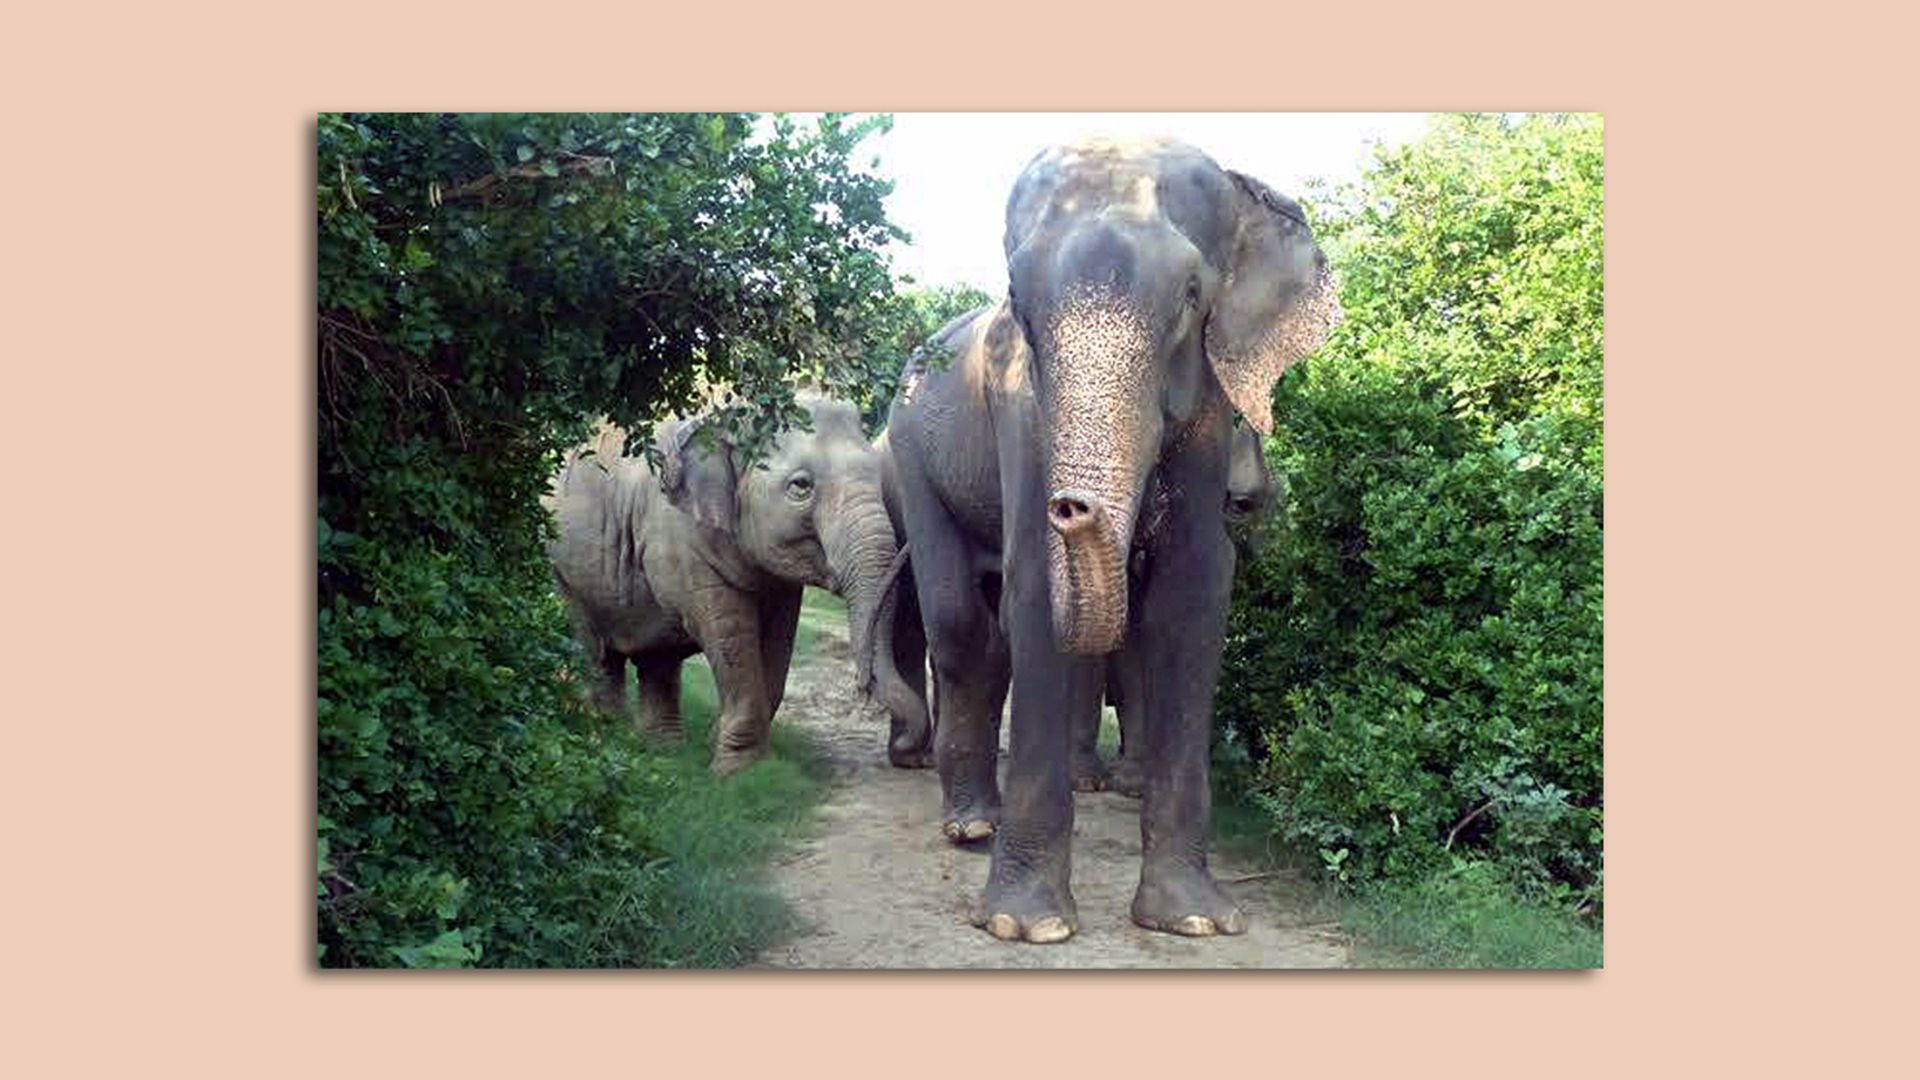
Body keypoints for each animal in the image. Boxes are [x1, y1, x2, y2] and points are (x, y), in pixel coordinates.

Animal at [547, 392, 931, 775]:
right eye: (801, 486)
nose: (863, 688)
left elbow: (778, 638)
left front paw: (722, 747)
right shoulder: (676, 535)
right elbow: (727, 631)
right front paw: (737, 771)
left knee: (657, 659)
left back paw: (661, 750)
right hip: (559, 570)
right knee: (592, 649)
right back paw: (608, 736)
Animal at [875, 137, 1338, 942]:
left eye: (1192, 293)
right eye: (1018, 296)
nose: (1072, 507)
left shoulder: (1209, 403)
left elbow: (1193, 593)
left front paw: (1195, 920)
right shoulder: (1019, 400)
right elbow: (1036, 586)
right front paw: (1026, 927)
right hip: (908, 452)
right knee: (962, 622)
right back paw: (972, 828)